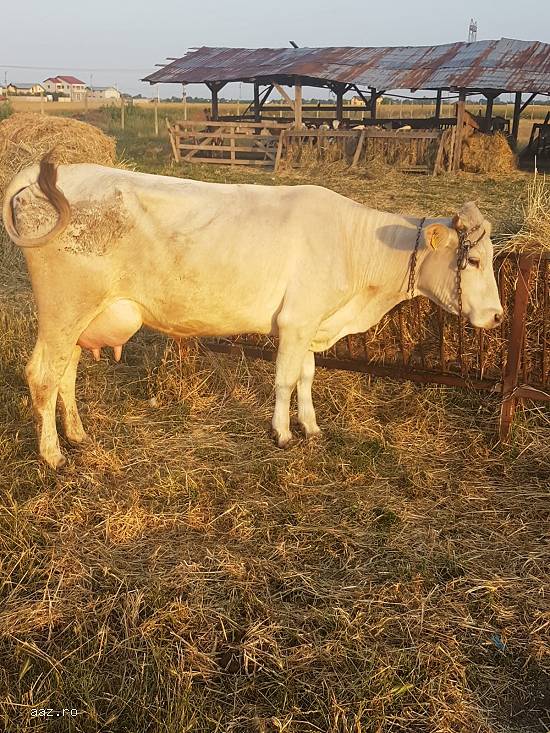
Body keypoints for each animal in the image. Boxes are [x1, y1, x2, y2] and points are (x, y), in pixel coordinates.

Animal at [2, 158, 503, 469]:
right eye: (475, 260)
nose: (498, 317)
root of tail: (59, 170)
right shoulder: (296, 322)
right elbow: (284, 379)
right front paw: (282, 433)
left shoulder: (309, 320)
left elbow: (306, 377)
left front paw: (311, 426)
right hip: (64, 308)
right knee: (42, 374)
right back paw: (52, 454)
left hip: (80, 318)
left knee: (65, 374)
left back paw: (77, 435)